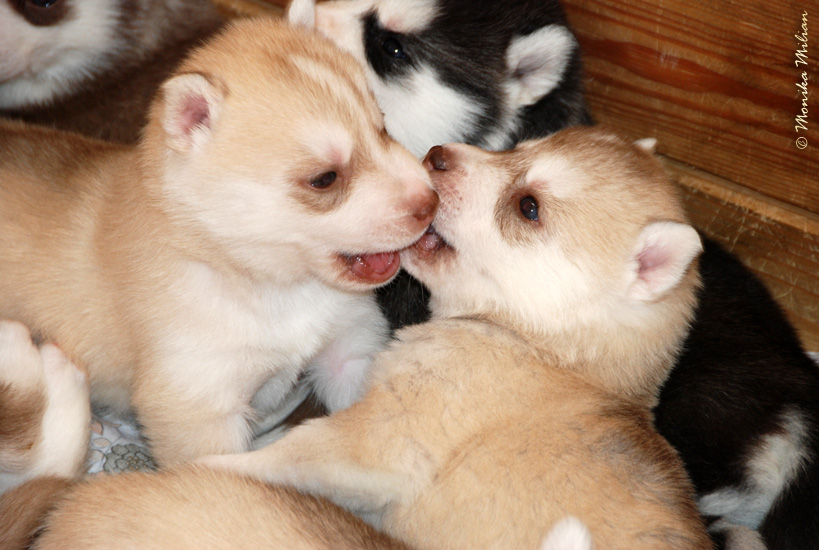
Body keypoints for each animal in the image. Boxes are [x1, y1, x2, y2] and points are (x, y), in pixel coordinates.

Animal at [0, 15, 437, 466]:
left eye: (383, 128)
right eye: (324, 178)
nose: (430, 202)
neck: (276, 288)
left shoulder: (349, 352)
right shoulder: (199, 406)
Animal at [200, 127, 712, 549]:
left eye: (529, 207)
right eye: (517, 146)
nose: (437, 154)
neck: (544, 348)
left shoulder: (385, 436)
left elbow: (277, 456)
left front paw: (206, 469)